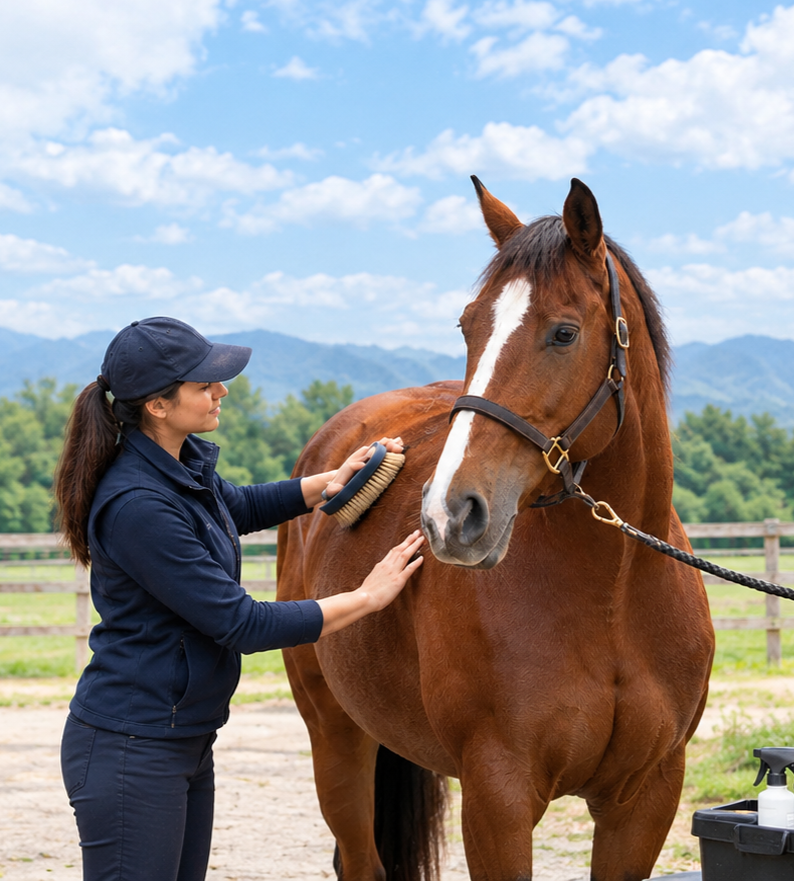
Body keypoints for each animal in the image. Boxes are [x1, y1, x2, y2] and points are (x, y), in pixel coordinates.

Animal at [276, 178, 715, 881]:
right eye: (468, 325)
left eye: (564, 333)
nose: (448, 515)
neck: (612, 598)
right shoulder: (497, 797)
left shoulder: (645, 798)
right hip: (336, 736)